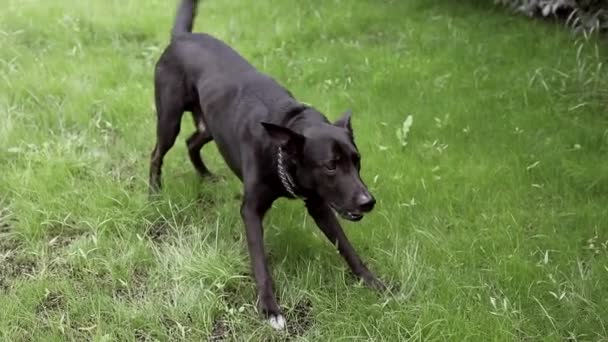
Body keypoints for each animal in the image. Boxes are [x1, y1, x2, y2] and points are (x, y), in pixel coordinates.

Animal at [148, 0, 384, 332]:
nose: (368, 202)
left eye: (357, 161)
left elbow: (345, 245)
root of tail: (181, 37)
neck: (282, 143)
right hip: (168, 119)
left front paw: (370, 280)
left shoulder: (319, 205)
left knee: (193, 142)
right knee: (158, 153)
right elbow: (260, 262)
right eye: (330, 166)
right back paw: (154, 191)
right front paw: (270, 309)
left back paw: (205, 175)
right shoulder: (251, 211)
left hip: (211, 125)